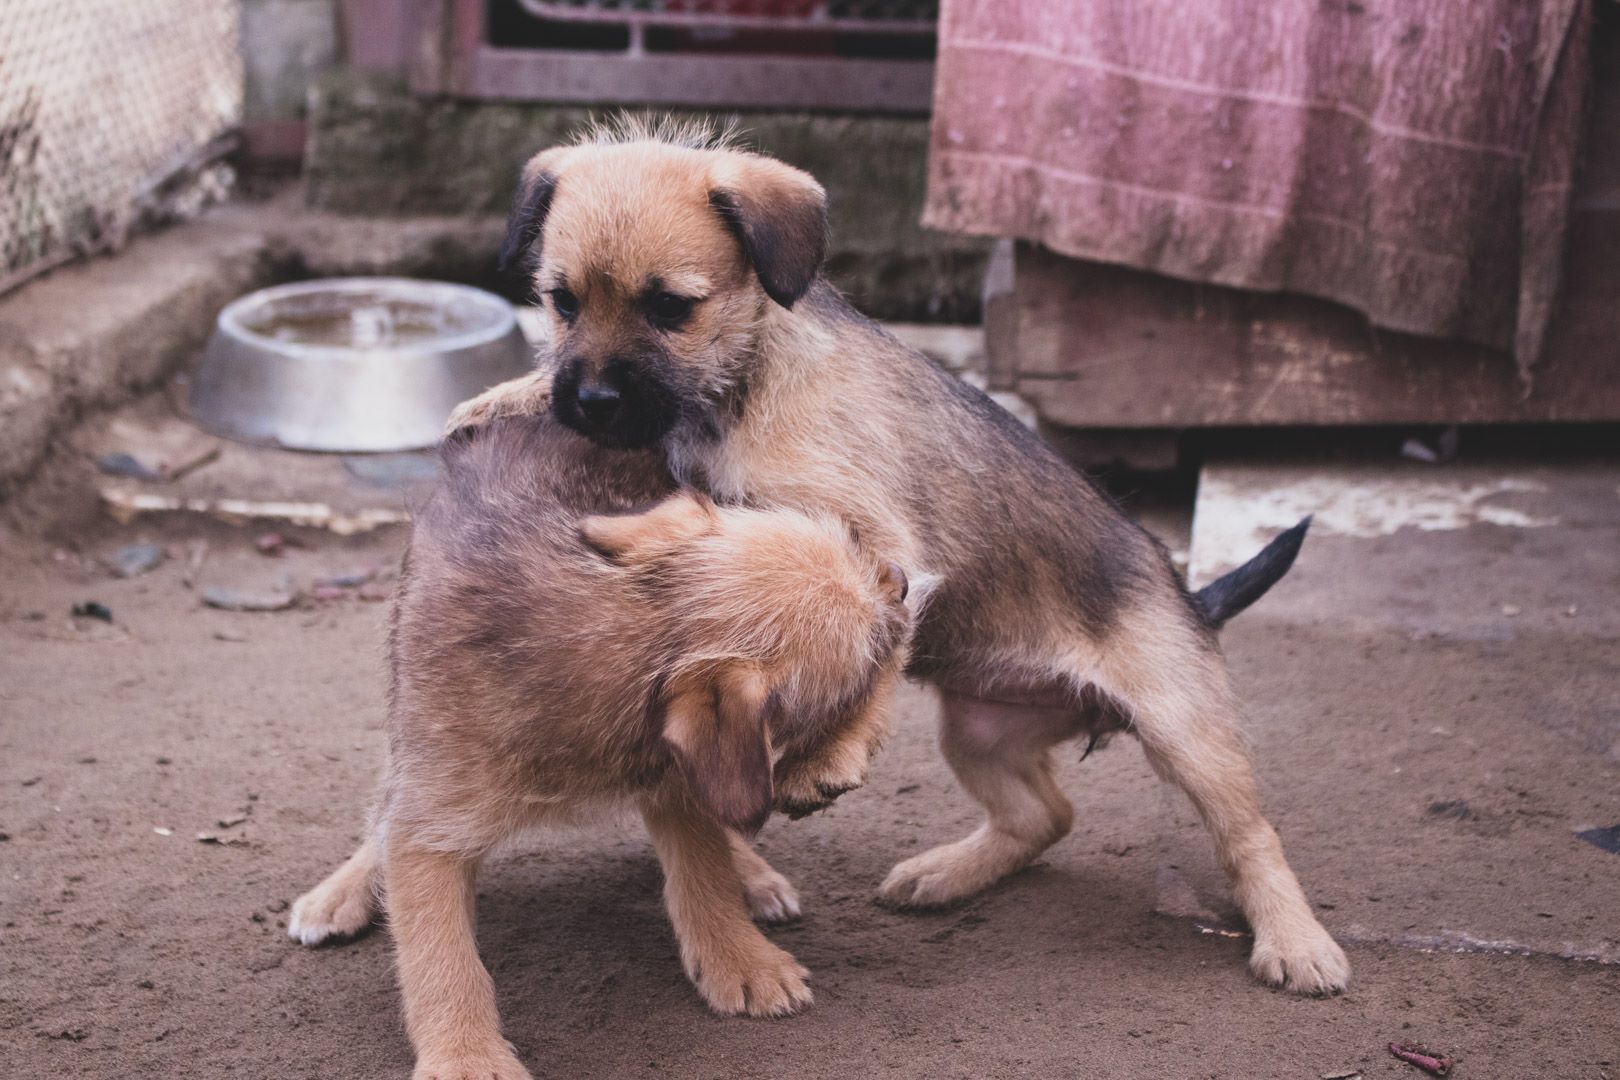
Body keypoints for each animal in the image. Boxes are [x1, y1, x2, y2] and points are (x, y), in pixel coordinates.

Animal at [289, 417, 920, 1080]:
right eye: (872, 651)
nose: (903, 580)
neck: (634, 633)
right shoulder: (433, 819)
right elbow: (440, 952)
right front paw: (464, 1054)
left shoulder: (678, 779)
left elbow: (705, 873)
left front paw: (739, 956)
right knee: (386, 805)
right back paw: (342, 891)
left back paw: (755, 876)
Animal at [450, 118, 1347, 997]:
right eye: (561, 302)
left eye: (670, 308)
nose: (591, 402)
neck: (738, 386)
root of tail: (1192, 598)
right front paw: (500, 397)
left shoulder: (882, 545)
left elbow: (880, 643)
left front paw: (833, 757)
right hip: (980, 733)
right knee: (1046, 815)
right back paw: (945, 875)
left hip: (1185, 731)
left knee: (1250, 835)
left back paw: (1297, 943)